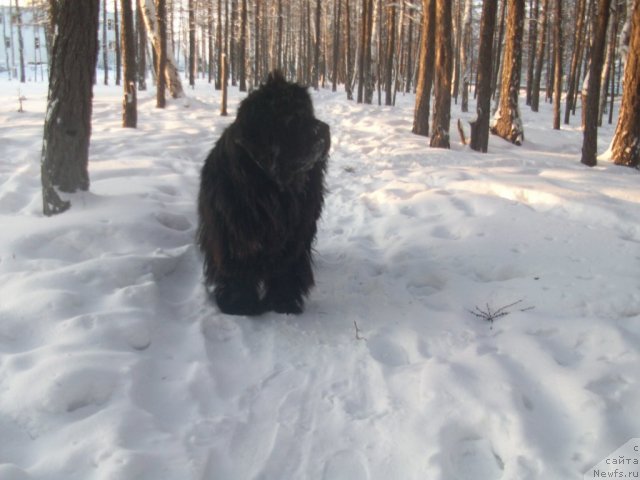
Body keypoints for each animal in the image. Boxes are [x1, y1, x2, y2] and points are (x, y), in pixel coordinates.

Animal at [198, 70, 330, 316]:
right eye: (291, 119)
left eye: (309, 112)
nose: (325, 130)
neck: (269, 189)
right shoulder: (233, 231)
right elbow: (237, 268)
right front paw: (240, 304)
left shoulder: (295, 234)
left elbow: (287, 268)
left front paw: (283, 302)